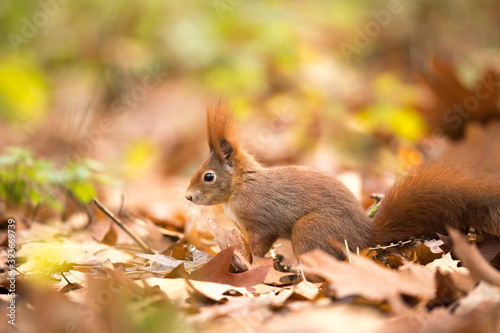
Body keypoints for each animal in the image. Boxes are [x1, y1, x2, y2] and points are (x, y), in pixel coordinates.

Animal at [186, 104, 500, 260]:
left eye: (208, 176)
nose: (188, 196)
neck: (240, 187)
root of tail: (364, 236)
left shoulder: (262, 221)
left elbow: (261, 245)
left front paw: (252, 260)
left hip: (311, 229)